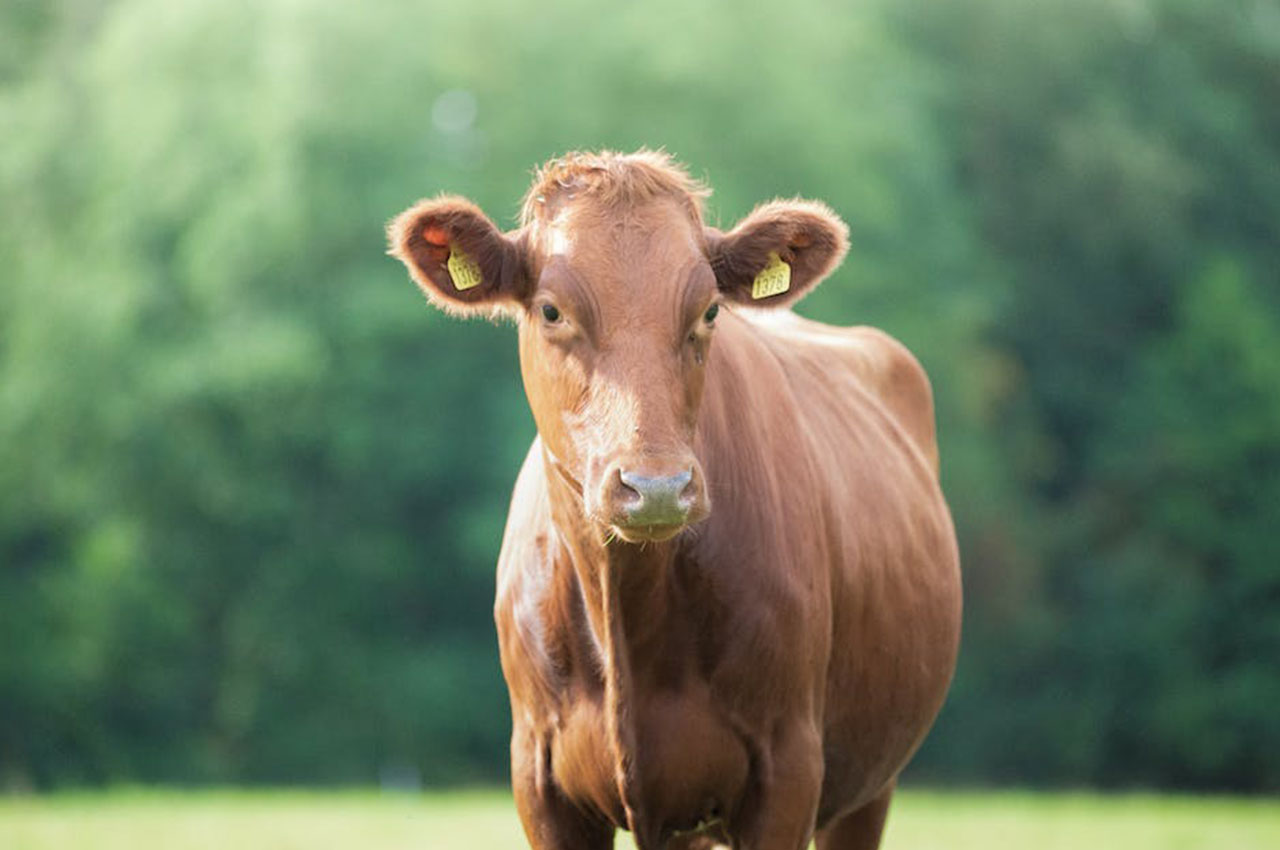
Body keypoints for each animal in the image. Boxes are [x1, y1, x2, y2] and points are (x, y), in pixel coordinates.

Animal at [389, 152, 962, 850]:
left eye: (710, 311)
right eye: (551, 311)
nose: (656, 487)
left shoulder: (789, 768)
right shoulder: (539, 777)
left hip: (869, 786)